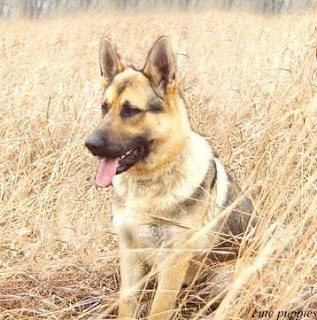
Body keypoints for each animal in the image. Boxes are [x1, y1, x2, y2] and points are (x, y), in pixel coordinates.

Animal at [84, 35, 254, 320]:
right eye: (104, 108)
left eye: (130, 111)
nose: (90, 145)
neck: (149, 186)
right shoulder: (129, 253)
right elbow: (127, 303)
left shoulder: (173, 261)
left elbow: (159, 309)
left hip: (225, 277)